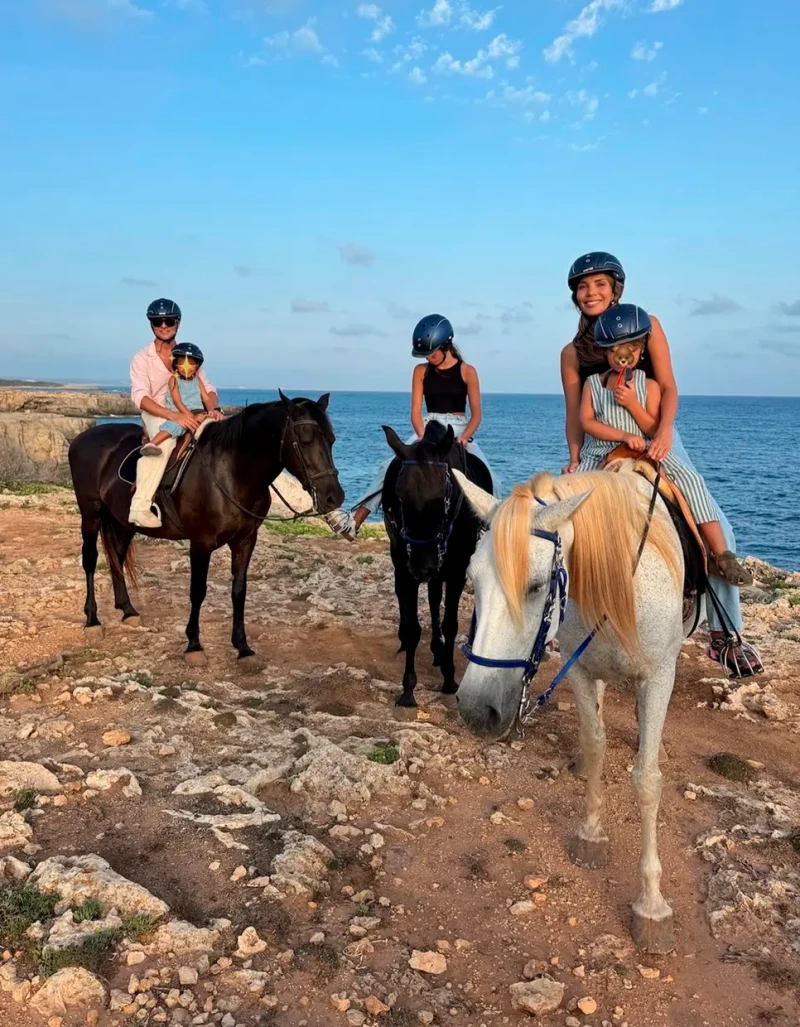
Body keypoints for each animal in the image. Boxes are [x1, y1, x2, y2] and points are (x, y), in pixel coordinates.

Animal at [68, 392, 345, 665]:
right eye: (304, 440)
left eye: (332, 440)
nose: (334, 497)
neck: (232, 472)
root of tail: (81, 439)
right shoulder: (201, 543)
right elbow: (198, 591)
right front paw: (194, 644)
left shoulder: (246, 540)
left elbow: (239, 590)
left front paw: (242, 646)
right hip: (91, 514)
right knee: (90, 560)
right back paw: (92, 620)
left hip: (123, 522)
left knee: (117, 557)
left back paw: (127, 610)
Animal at [384, 419, 494, 706]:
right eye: (399, 496)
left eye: (443, 493)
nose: (422, 566)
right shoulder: (406, 569)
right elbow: (413, 627)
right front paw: (408, 689)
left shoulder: (457, 571)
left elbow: (450, 624)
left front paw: (449, 677)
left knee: (435, 600)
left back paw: (439, 651)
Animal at [453, 468, 686, 953]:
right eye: (471, 579)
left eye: (536, 585)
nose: (475, 709)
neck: (620, 584)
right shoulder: (579, 671)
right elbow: (595, 745)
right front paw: (591, 833)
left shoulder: (658, 677)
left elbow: (647, 781)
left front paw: (652, 904)